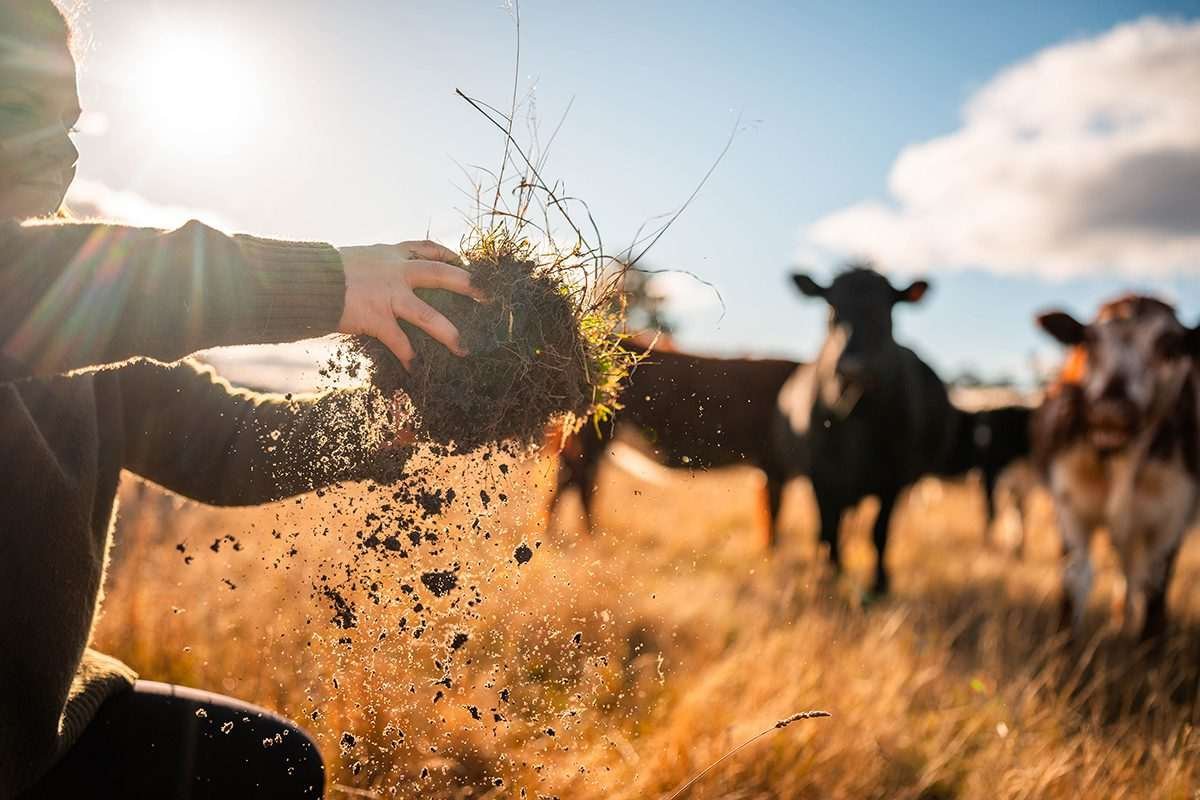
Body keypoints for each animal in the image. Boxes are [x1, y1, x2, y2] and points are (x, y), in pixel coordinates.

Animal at [547, 339, 801, 542]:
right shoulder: (772, 465)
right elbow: (772, 515)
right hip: (588, 442)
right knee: (577, 484)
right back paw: (587, 540)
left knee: (569, 482)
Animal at [773, 266, 956, 596]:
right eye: (831, 309)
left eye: (887, 313)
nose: (853, 368)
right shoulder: (822, 477)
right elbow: (828, 529)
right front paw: (829, 576)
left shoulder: (894, 480)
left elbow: (879, 532)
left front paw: (881, 583)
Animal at [1033, 295, 1200, 640]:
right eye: (1090, 341)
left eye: (1170, 347)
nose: (1110, 410)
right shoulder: (1070, 506)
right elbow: (1074, 581)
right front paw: (1064, 651)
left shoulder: (1173, 516)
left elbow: (1156, 591)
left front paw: (1150, 651)